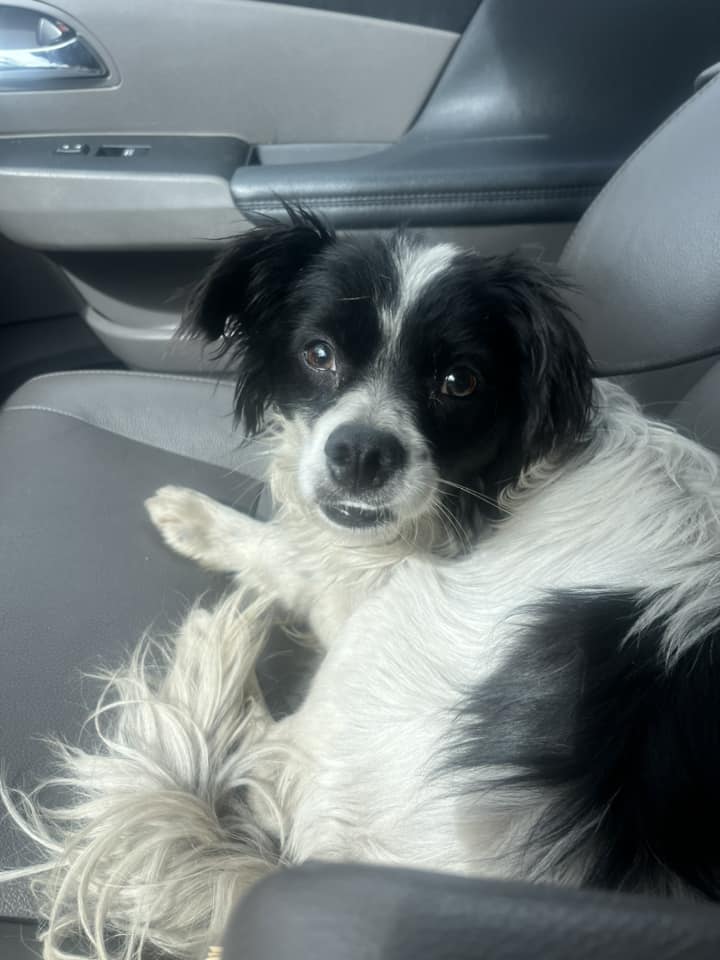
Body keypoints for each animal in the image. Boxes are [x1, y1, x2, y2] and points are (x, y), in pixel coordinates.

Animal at [5, 210, 720, 960]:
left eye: (460, 381)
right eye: (318, 355)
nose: (362, 453)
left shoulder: (352, 588)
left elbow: (282, 552)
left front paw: (194, 519)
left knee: (251, 756)